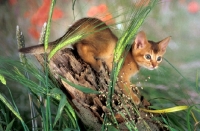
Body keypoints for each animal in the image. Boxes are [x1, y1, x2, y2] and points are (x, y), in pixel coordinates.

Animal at [19, 17, 170, 105]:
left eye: (159, 58)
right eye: (148, 56)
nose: (154, 65)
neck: (131, 56)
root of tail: (77, 25)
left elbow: (130, 84)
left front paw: (134, 88)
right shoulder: (120, 76)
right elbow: (125, 87)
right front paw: (135, 98)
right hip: (106, 47)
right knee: (82, 47)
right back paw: (96, 64)